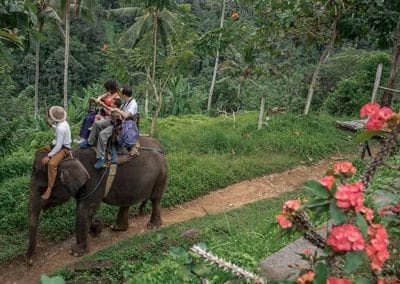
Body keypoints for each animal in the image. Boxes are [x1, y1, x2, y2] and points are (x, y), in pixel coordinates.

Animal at [26, 136, 167, 262]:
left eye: (43, 189)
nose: (30, 261)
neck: (70, 156)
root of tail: (160, 147)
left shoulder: (94, 181)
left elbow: (84, 210)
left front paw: (76, 253)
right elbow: (87, 211)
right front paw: (97, 229)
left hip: (161, 174)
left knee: (155, 198)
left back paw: (152, 226)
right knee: (126, 200)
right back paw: (117, 228)